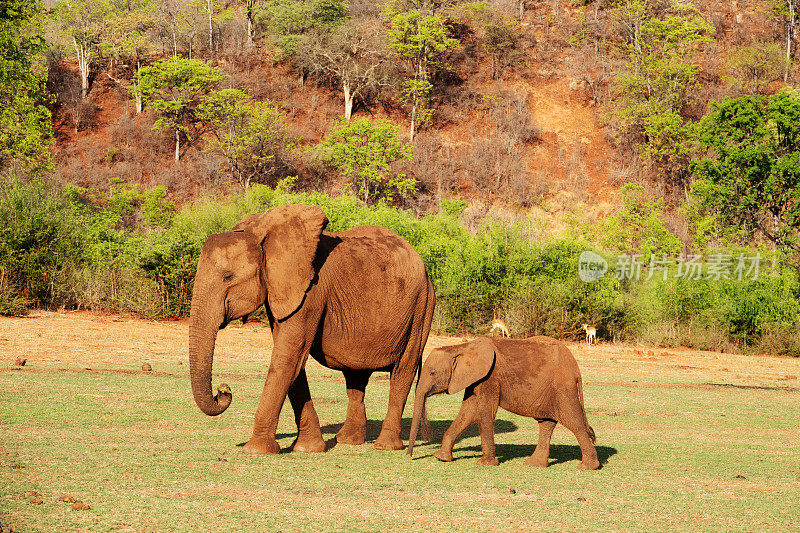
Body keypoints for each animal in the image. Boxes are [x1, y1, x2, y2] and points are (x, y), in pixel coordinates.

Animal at [188, 204, 434, 454]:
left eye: (228, 276)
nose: (224, 390)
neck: (263, 235)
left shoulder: (312, 290)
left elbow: (290, 353)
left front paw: (255, 450)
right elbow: (291, 358)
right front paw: (309, 448)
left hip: (421, 307)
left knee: (403, 371)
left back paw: (385, 446)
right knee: (355, 377)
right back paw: (347, 440)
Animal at [410, 336, 596, 470]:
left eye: (432, 373)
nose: (410, 456)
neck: (461, 348)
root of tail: (576, 368)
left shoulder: (490, 377)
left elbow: (485, 412)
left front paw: (485, 464)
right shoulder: (475, 379)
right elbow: (467, 412)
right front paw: (441, 457)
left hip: (563, 388)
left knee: (574, 423)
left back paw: (587, 467)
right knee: (546, 423)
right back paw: (534, 465)